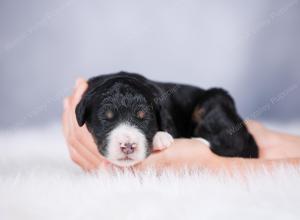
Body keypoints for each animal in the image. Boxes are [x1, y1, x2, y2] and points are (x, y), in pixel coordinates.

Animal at [75, 72, 258, 167]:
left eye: (144, 118)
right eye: (106, 118)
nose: (128, 146)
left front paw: (160, 137)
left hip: (214, 101)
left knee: (233, 141)